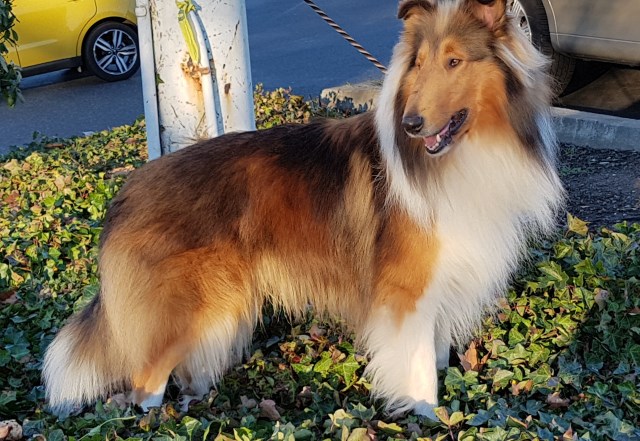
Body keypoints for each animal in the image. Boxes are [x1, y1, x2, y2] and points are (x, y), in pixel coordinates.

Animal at [45, 0, 564, 418]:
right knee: (144, 385)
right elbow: (420, 378)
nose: (412, 125)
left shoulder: (441, 284)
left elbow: (434, 359)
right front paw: (426, 420)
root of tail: (129, 188)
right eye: (417, 64)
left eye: (454, 61)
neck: (460, 155)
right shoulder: (406, 295)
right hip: (183, 307)